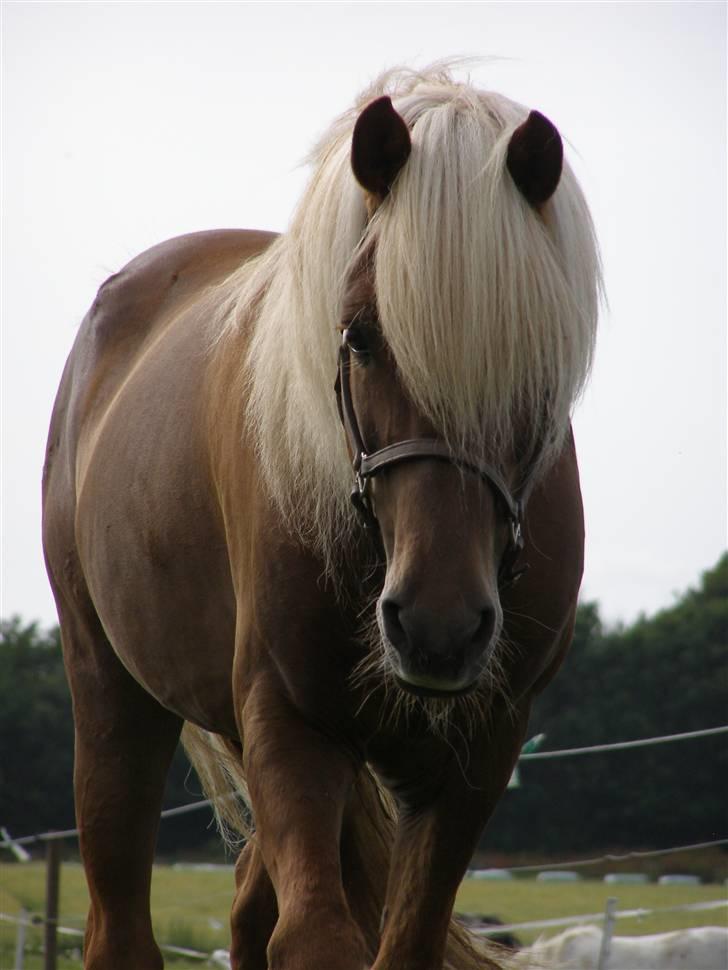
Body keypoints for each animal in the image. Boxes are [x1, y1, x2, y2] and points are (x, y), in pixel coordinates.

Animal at [42, 68, 604, 968]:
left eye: (539, 363)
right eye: (362, 337)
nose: (439, 626)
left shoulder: (479, 752)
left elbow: (398, 942)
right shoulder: (290, 720)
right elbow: (313, 939)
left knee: (244, 915)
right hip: (111, 694)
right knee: (120, 927)